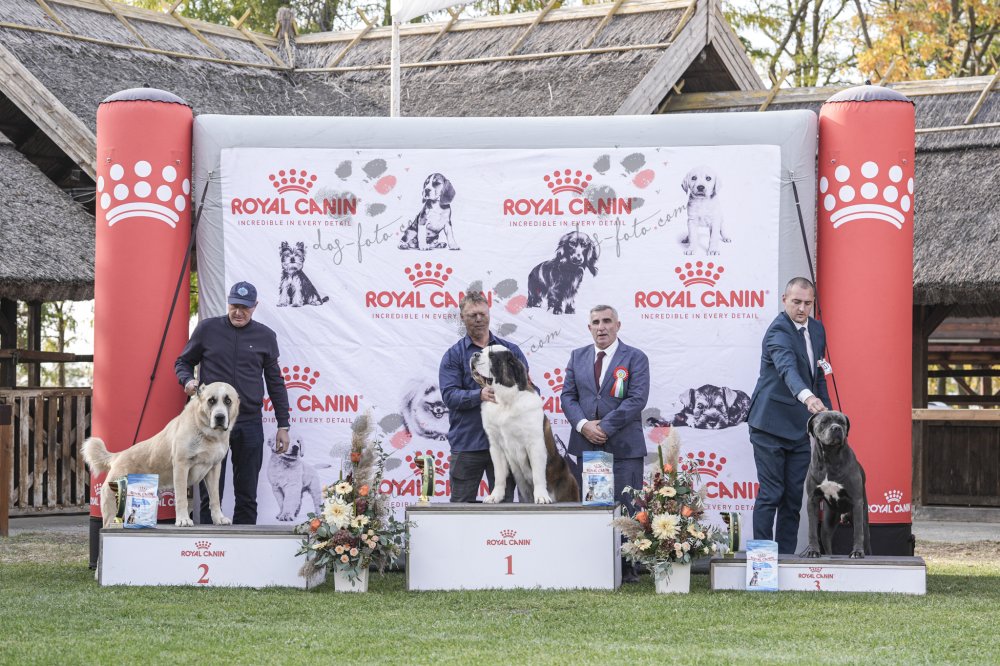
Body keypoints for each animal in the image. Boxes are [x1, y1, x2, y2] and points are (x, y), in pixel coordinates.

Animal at [82, 382, 239, 528]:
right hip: (112, 504)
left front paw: (219, 518)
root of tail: (118, 456)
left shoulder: (214, 469)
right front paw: (183, 520)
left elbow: (215, 498)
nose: (219, 417)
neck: (207, 434)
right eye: (211, 400)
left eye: (228, 401)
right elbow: (181, 497)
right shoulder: (181, 466)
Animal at [470, 345, 579, 504]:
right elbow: (499, 475)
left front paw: (541, 496)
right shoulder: (496, 446)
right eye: (481, 351)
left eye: (492, 356)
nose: (474, 354)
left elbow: (538, 474)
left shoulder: (535, 445)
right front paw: (495, 496)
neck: (505, 400)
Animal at [800, 410, 872, 559]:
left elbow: (858, 533)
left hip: (863, 520)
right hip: (828, 524)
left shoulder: (856, 502)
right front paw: (813, 551)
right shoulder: (812, 500)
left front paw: (857, 552)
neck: (830, 457)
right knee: (827, 543)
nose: (836, 428)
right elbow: (812, 530)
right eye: (824, 422)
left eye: (841, 422)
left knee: (865, 536)